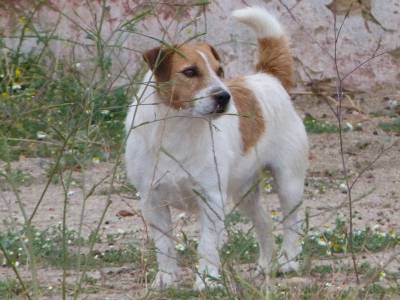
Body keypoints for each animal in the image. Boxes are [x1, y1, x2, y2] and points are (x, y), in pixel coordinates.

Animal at [125, 5, 310, 290]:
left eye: (220, 71)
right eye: (190, 72)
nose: (224, 96)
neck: (179, 127)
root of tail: (267, 76)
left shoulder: (211, 199)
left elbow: (207, 246)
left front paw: (206, 281)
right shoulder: (152, 201)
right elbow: (164, 246)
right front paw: (165, 278)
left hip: (288, 182)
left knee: (291, 224)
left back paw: (288, 262)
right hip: (244, 193)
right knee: (265, 222)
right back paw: (265, 265)